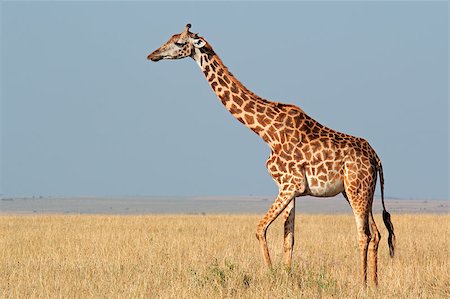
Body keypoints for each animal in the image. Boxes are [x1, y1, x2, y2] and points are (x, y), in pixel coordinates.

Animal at [147, 24, 394, 288]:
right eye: (170, 38)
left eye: (179, 43)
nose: (152, 55)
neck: (267, 132)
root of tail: (376, 158)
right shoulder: (289, 188)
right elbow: (289, 238)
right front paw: (286, 278)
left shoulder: (290, 184)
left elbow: (260, 228)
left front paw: (270, 273)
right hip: (356, 191)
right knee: (377, 233)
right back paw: (376, 284)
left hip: (358, 189)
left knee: (363, 235)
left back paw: (363, 284)